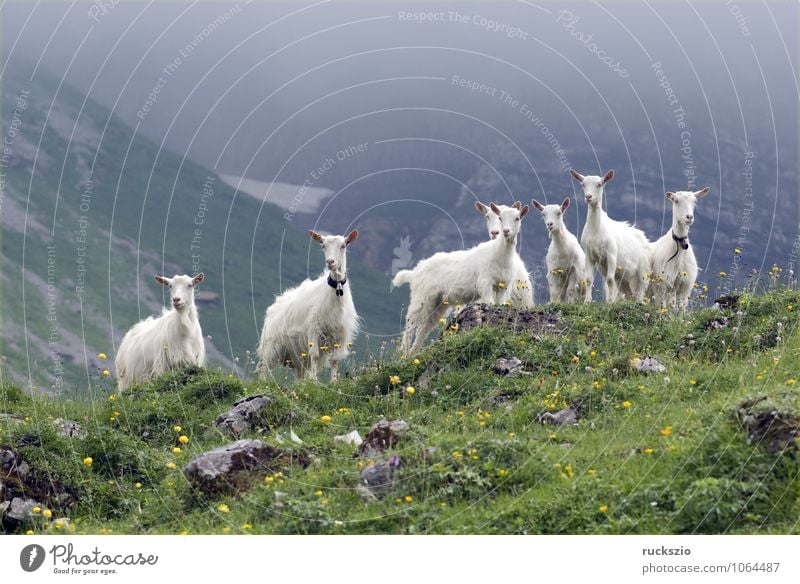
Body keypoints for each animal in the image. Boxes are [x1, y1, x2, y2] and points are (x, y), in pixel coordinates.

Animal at [256, 228, 360, 384]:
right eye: (323, 245)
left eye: (344, 245)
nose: (330, 262)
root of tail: (276, 303)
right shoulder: (313, 329)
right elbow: (315, 356)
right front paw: (315, 382)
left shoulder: (341, 334)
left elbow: (335, 360)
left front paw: (333, 382)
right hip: (271, 344)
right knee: (264, 367)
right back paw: (263, 382)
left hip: (296, 354)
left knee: (299, 372)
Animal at [392, 203, 528, 354]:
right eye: (500, 217)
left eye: (517, 218)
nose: (505, 231)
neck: (500, 255)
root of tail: (415, 271)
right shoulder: (485, 283)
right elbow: (490, 303)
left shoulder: (504, 286)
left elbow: (501, 303)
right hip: (421, 296)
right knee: (411, 324)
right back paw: (404, 353)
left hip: (438, 302)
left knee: (423, 328)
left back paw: (414, 354)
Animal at [568, 169, 648, 304]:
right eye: (583, 184)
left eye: (599, 184)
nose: (588, 197)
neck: (596, 231)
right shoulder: (589, 255)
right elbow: (589, 279)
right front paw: (587, 301)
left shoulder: (611, 254)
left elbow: (610, 280)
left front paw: (610, 302)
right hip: (624, 278)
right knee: (628, 293)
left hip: (643, 271)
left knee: (641, 289)